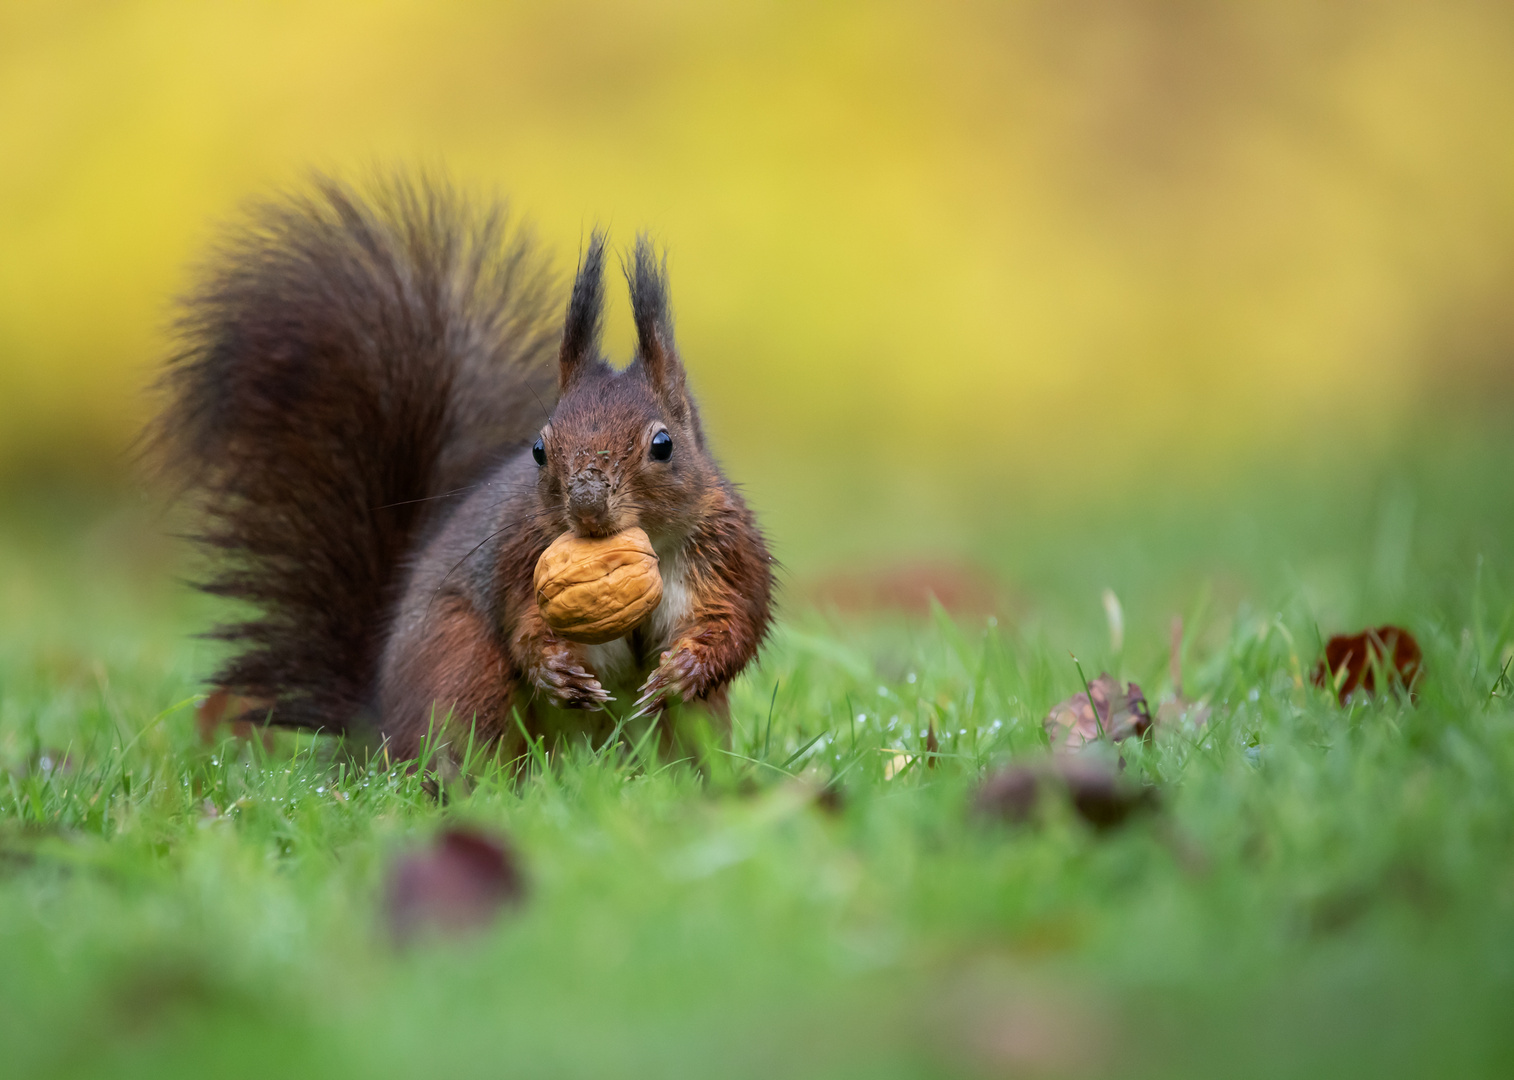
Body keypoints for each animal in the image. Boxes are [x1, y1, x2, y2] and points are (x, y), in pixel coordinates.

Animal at [158, 174, 775, 757]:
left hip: (687, 723)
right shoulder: (518, 552)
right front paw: (556, 670)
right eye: (539, 449)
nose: (587, 504)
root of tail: (377, 730)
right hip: (459, 665)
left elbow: (735, 622)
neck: (646, 543)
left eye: (663, 444)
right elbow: (525, 624)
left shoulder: (727, 550)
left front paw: (685, 669)